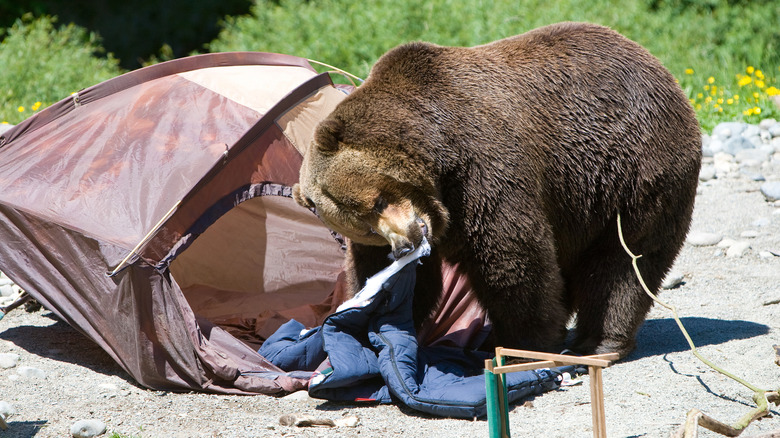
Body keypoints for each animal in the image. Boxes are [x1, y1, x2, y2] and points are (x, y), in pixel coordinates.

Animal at [292, 22, 701, 358]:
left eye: (378, 200)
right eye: (365, 226)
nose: (406, 242)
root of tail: (658, 65)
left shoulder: (482, 165)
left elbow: (510, 256)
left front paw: (523, 342)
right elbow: (391, 276)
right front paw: (361, 325)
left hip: (632, 167)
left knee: (626, 257)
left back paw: (600, 341)